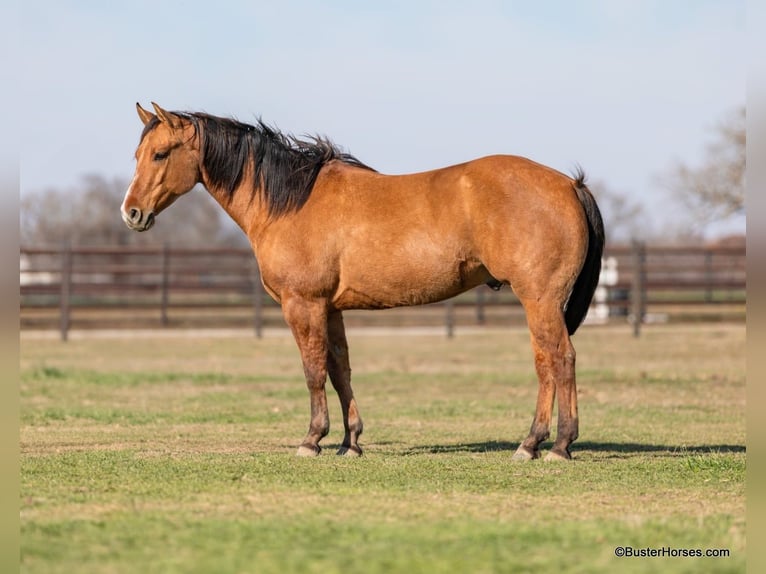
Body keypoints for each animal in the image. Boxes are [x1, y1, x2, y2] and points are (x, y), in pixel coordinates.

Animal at [121, 102, 605, 461]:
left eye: (160, 155)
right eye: (138, 156)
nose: (131, 213)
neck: (290, 201)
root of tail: (569, 184)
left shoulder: (303, 304)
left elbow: (313, 370)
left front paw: (312, 439)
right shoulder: (331, 308)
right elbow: (340, 370)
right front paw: (349, 441)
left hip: (540, 299)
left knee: (560, 360)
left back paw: (557, 445)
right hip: (538, 303)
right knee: (545, 362)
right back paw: (534, 443)